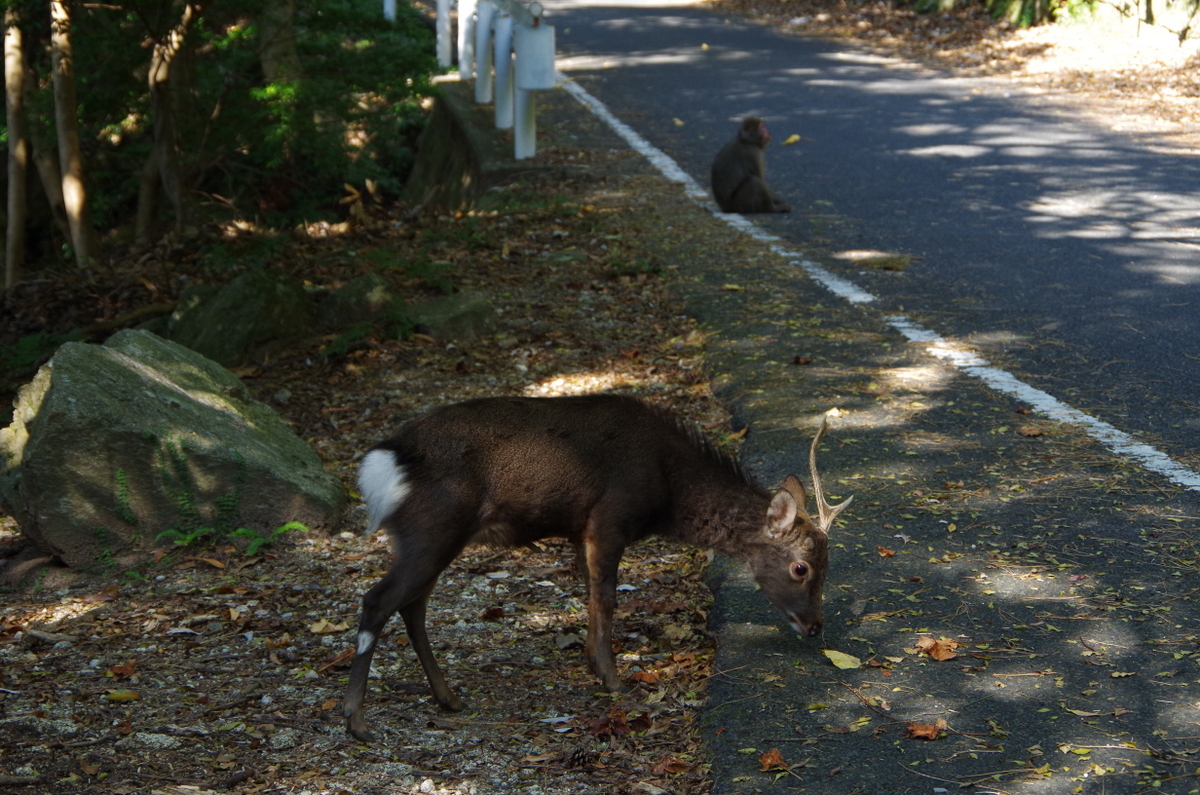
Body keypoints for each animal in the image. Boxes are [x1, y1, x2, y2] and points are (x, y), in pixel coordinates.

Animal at [340, 396, 854, 744]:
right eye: (801, 567)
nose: (814, 626)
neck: (668, 491)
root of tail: (381, 464)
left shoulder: (582, 532)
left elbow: (589, 595)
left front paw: (595, 666)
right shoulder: (610, 517)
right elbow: (605, 597)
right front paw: (613, 680)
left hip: (432, 536)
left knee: (413, 606)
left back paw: (448, 697)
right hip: (433, 527)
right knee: (378, 599)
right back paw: (357, 721)